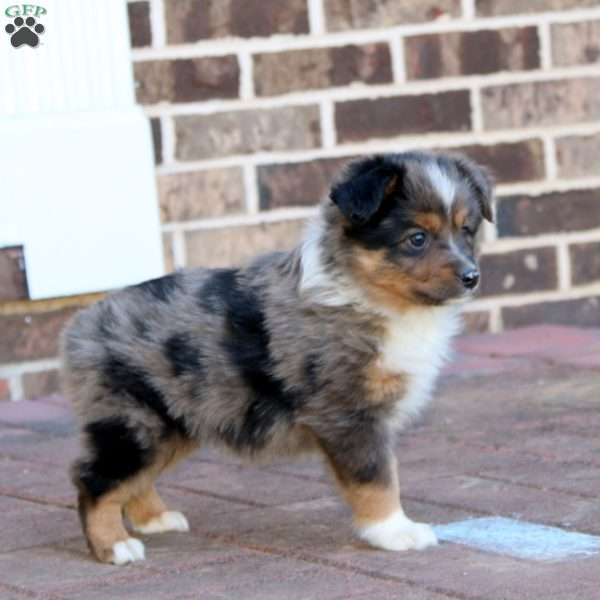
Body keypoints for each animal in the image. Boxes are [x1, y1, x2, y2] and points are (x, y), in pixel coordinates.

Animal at [61, 150, 492, 564]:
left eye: (466, 231)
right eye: (417, 238)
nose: (472, 277)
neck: (372, 297)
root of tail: (82, 324)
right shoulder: (348, 414)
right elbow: (377, 477)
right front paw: (395, 531)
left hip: (174, 423)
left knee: (134, 480)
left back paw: (155, 519)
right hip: (134, 422)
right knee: (94, 480)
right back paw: (114, 546)